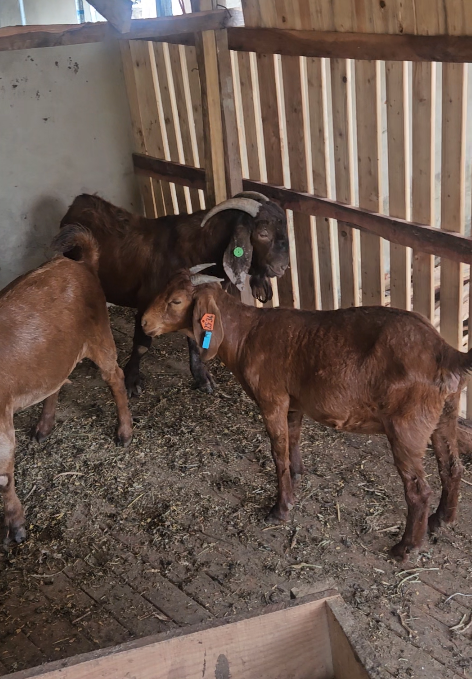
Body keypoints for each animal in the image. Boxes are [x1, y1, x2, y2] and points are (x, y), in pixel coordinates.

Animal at [0, 225, 133, 547]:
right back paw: (44, 427)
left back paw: (124, 432)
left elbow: (4, 479)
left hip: (101, 338)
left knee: (116, 377)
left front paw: (15, 526)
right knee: (56, 383)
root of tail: (81, 264)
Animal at [59, 192, 289, 397]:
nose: (283, 267)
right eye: (263, 233)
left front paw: (203, 379)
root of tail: (79, 201)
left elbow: (195, 340)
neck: (196, 248)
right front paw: (132, 382)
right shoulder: (147, 303)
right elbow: (142, 345)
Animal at [141, 267, 469, 561]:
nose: (143, 323)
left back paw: (405, 548)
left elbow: (277, 452)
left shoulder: (271, 398)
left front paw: (280, 508)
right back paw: (442, 520)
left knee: (419, 490)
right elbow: (294, 439)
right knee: (452, 467)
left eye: (176, 301)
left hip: (407, 425)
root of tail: (445, 352)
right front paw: (298, 474)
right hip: (445, 413)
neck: (246, 334)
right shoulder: (294, 402)